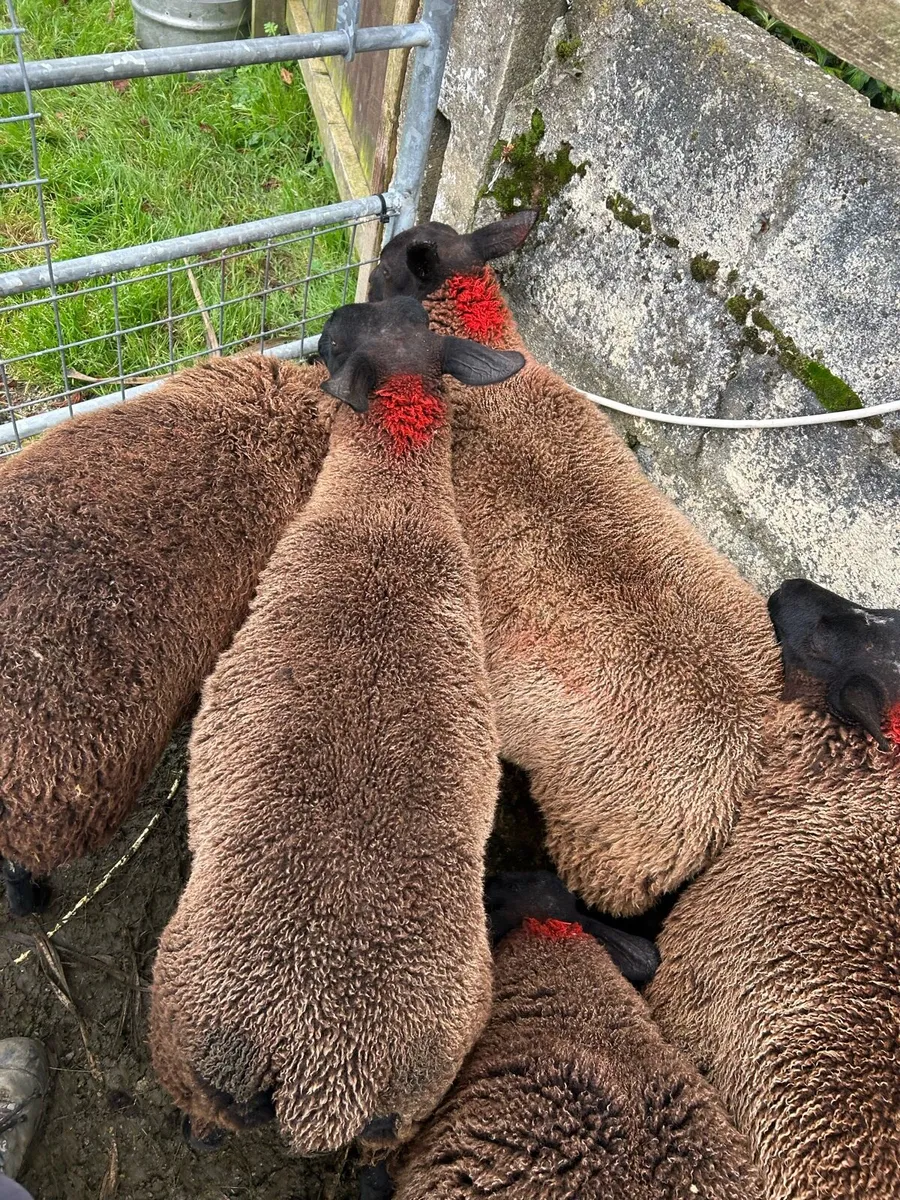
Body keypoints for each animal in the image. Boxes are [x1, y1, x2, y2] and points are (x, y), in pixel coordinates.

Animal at [149, 297, 527, 1157]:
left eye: (325, 340)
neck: (389, 508)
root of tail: (320, 1074)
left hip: (183, 1031)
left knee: (200, 1113)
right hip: (416, 1097)